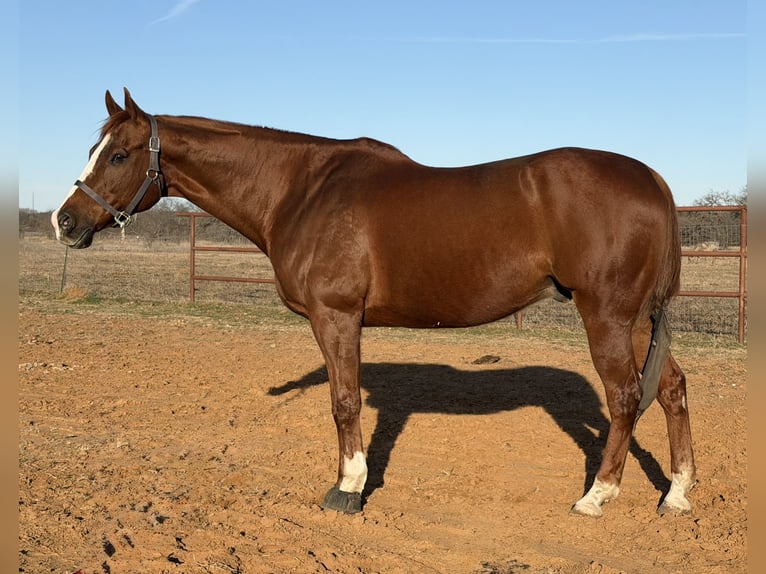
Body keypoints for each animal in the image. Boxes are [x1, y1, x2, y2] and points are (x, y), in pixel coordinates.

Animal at [52, 89, 696, 517]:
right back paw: (676, 494)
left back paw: (597, 496)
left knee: (625, 396)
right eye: (93, 148)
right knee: (670, 389)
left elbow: (343, 402)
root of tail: (653, 180)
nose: (65, 221)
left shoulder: (336, 317)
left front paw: (348, 489)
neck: (300, 190)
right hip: (636, 320)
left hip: (606, 315)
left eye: (118, 155)